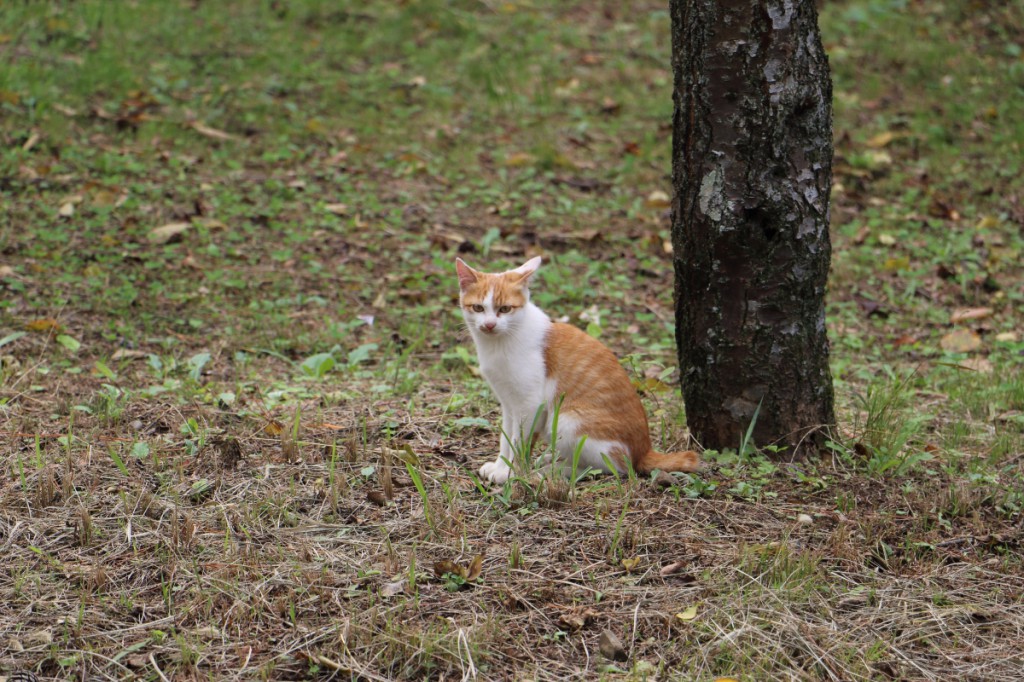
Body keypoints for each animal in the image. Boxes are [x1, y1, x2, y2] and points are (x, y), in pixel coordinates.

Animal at [458, 254, 704, 483]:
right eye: (478, 308)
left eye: (505, 309)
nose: (489, 325)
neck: (498, 344)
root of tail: (643, 451)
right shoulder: (509, 404)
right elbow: (506, 438)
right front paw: (500, 466)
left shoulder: (530, 404)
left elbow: (520, 443)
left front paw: (511, 473)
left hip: (567, 420)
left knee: (611, 467)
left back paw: (552, 471)